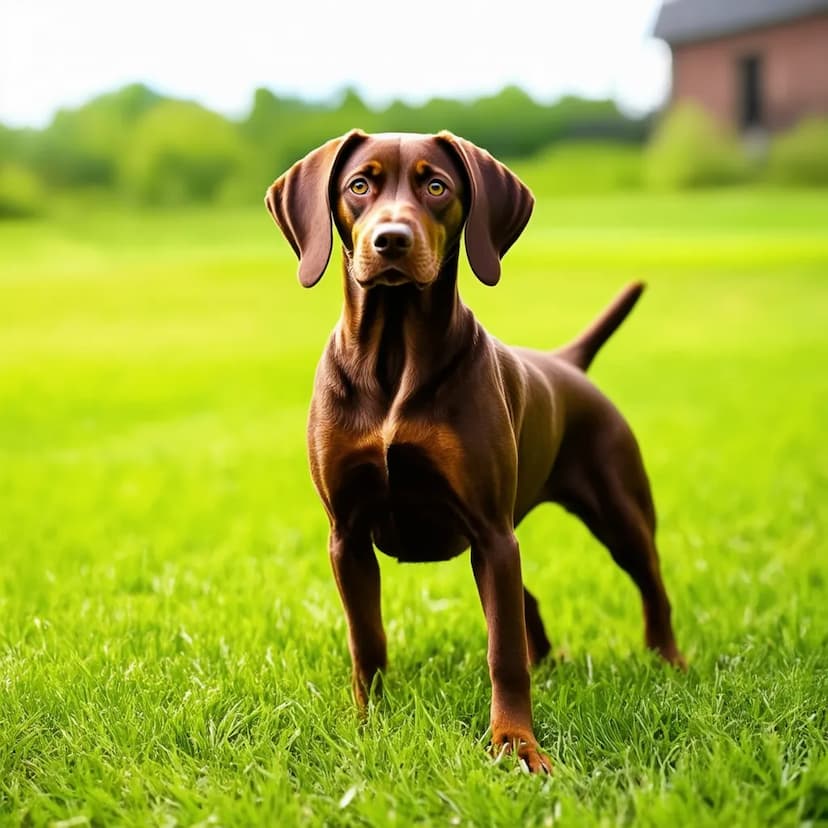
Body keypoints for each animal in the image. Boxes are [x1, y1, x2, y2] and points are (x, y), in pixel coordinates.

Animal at [266, 129, 684, 768]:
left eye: (436, 186)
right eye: (359, 185)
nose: (392, 240)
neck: (395, 357)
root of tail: (567, 364)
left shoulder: (489, 529)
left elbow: (502, 652)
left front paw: (516, 743)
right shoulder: (349, 535)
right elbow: (367, 641)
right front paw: (368, 725)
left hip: (614, 515)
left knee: (650, 587)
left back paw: (670, 662)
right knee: (527, 601)